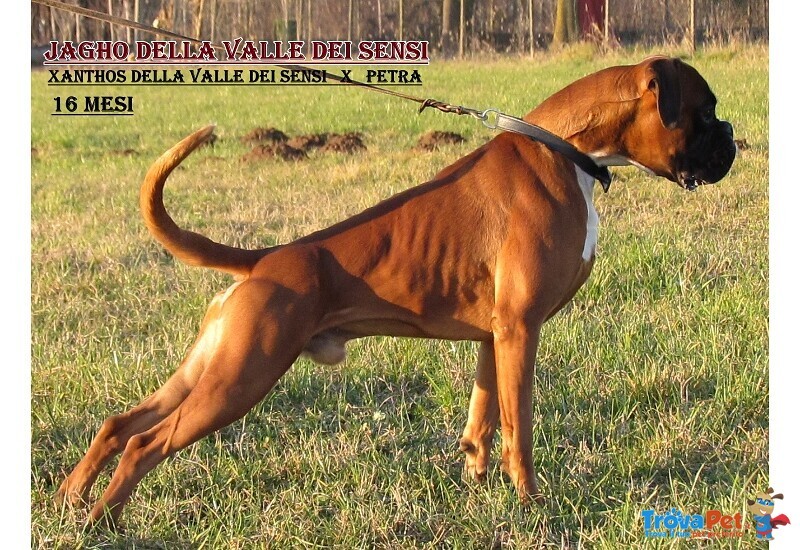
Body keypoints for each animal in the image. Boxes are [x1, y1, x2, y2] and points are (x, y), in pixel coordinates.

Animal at [57, 57, 736, 532]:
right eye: (704, 112)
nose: (733, 136)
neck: (567, 150)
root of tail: (263, 260)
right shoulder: (522, 329)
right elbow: (520, 426)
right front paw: (531, 503)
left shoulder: (496, 336)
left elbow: (483, 418)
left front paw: (478, 486)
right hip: (240, 379)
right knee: (145, 443)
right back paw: (101, 519)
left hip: (211, 367)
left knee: (121, 423)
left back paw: (71, 498)